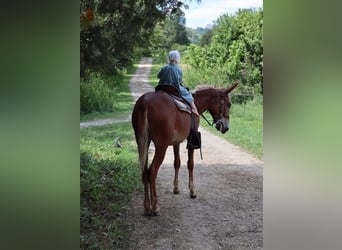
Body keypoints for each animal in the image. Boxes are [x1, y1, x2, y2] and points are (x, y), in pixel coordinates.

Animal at [131, 83, 238, 216]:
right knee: (152, 172)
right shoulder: (191, 139)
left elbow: (177, 163)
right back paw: (155, 206)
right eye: (229, 104)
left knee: (144, 172)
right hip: (161, 146)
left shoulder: (176, 142)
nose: (226, 127)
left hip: (143, 143)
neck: (195, 102)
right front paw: (192, 191)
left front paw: (176, 188)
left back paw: (146, 207)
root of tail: (145, 103)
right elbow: (190, 164)